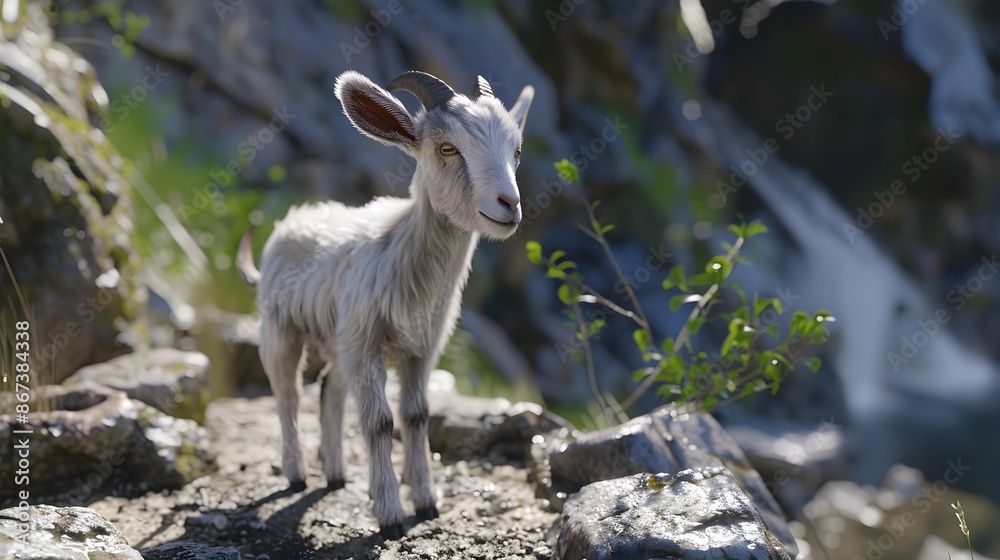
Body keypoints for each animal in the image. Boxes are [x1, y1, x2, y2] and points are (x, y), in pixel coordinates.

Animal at [237, 70, 533, 538]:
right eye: (446, 148)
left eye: (516, 150)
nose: (510, 204)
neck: (399, 251)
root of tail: (294, 218)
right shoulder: (366, 345)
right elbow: (380, 423)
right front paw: (391, 514)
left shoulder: (420, 352)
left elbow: (416, 416)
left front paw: (426, 501)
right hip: (282, 330)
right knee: (287, 395)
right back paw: (296, 474)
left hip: (340, 340)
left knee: (330, 391)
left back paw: (335, 475)